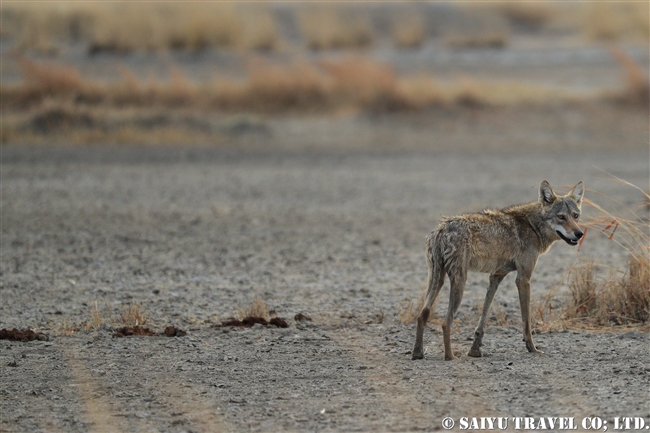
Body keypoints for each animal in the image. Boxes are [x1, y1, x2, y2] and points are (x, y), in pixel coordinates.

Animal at [410, 181, 584, 360]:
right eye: (561, 217)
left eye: (575, 216)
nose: (579, 233)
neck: (532, 226)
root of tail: (441, 229)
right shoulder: (523, 279)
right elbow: (526, 320)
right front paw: (532, 348)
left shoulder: (496, 276)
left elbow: (484, 316)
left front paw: (475, 350)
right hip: (460, 282)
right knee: (445, 322)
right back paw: (450, 357)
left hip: (436, 279)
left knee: (421, 315)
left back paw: (417, 353)